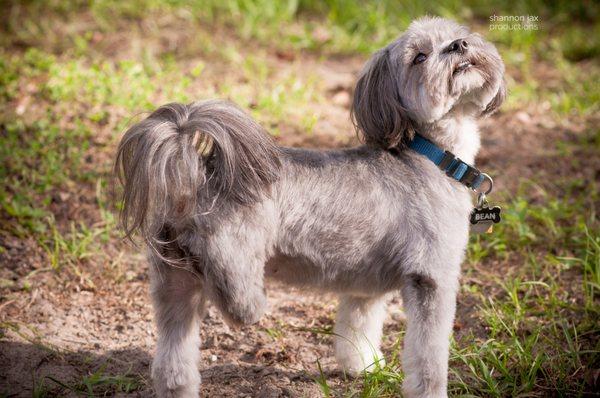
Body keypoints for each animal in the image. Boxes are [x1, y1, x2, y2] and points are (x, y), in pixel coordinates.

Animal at [115, 16, 504, 398]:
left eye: (458, 35)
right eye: (419, 57)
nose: (459, 46)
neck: (431, 155)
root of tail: (195, 173)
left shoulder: (366, 287)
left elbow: (358, 327)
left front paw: (363, 366)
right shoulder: (432, 278)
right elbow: (429, 360)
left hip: (173, 286)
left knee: (173, 365)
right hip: (238, 276)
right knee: (234, 302)